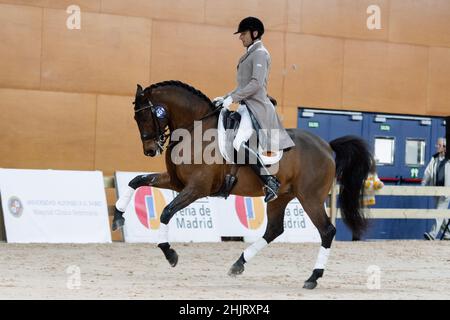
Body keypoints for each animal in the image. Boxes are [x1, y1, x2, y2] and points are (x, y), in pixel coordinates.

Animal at [113, 80, 372, 290]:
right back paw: (238, 264)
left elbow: (166, 212)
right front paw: (117, 217)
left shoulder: (197, 188)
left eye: (145, 116)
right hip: (281, 197)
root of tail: (327, 146)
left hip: (310, 198)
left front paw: (170, 254)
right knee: (274, 229)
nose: (150, 150)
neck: (194, 130)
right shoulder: (177, 182)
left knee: (326, 231)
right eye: (136, 118)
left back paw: (313, 278)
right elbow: (136, 181)